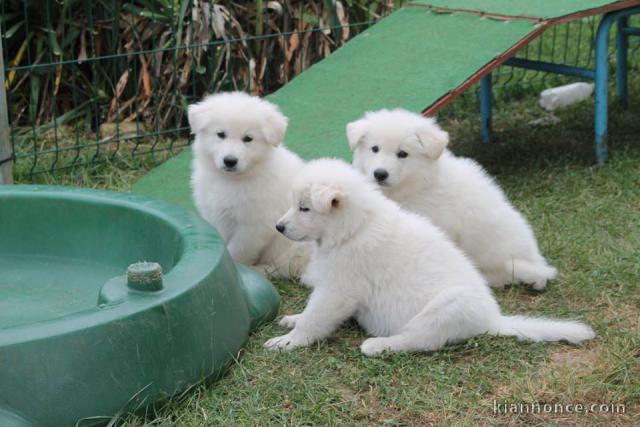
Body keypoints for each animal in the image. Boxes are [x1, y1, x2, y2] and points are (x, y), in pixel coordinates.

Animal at [188, 92, 310, 280]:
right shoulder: (215, 214)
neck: (232, 181)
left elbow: (237, 250)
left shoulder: (254, 226)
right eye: (220, 134)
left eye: (248, 139)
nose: (230, 161)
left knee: (283, 267)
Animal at [262, 159, 592, 356]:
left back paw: (379, 344)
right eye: (295, 205)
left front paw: (290, 341)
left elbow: (317, 317)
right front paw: (294, 318)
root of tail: (493, 319)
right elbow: (310, 310)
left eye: (304, 208)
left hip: (448, 306)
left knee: (420, 340)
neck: (355, 227)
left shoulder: (339, 288)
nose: (278, 227)